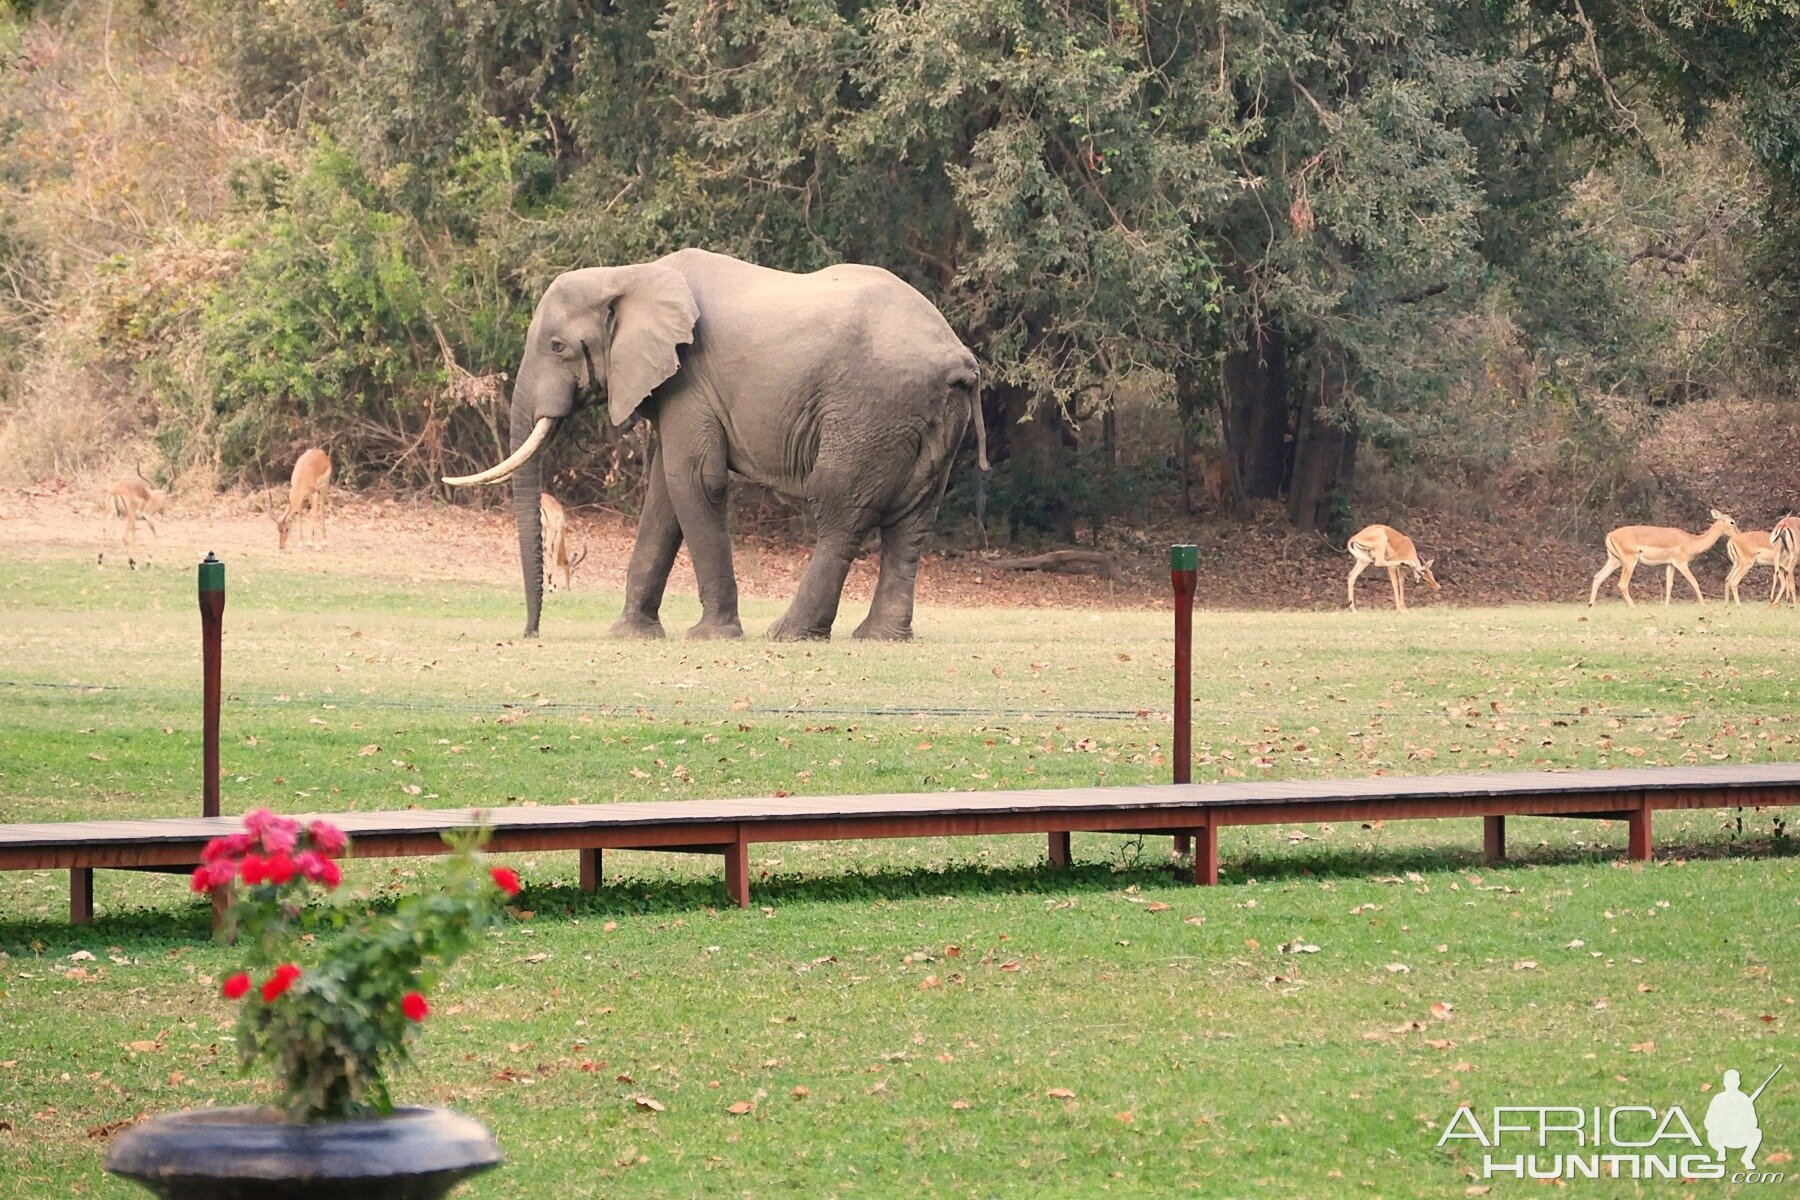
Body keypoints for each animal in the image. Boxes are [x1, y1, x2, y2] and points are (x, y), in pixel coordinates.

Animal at [446, 248, 986, 644]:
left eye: (558, 347)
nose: (531, 634)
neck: (631, 275)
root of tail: (958, 358)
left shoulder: (691, 381)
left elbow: (694, 481)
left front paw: (710, 636)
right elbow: (664, 494)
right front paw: (630, 635)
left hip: (869, 411)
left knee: (841, 509)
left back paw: (788, 635)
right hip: (925, 421)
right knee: (912, 523)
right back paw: (879, 638)